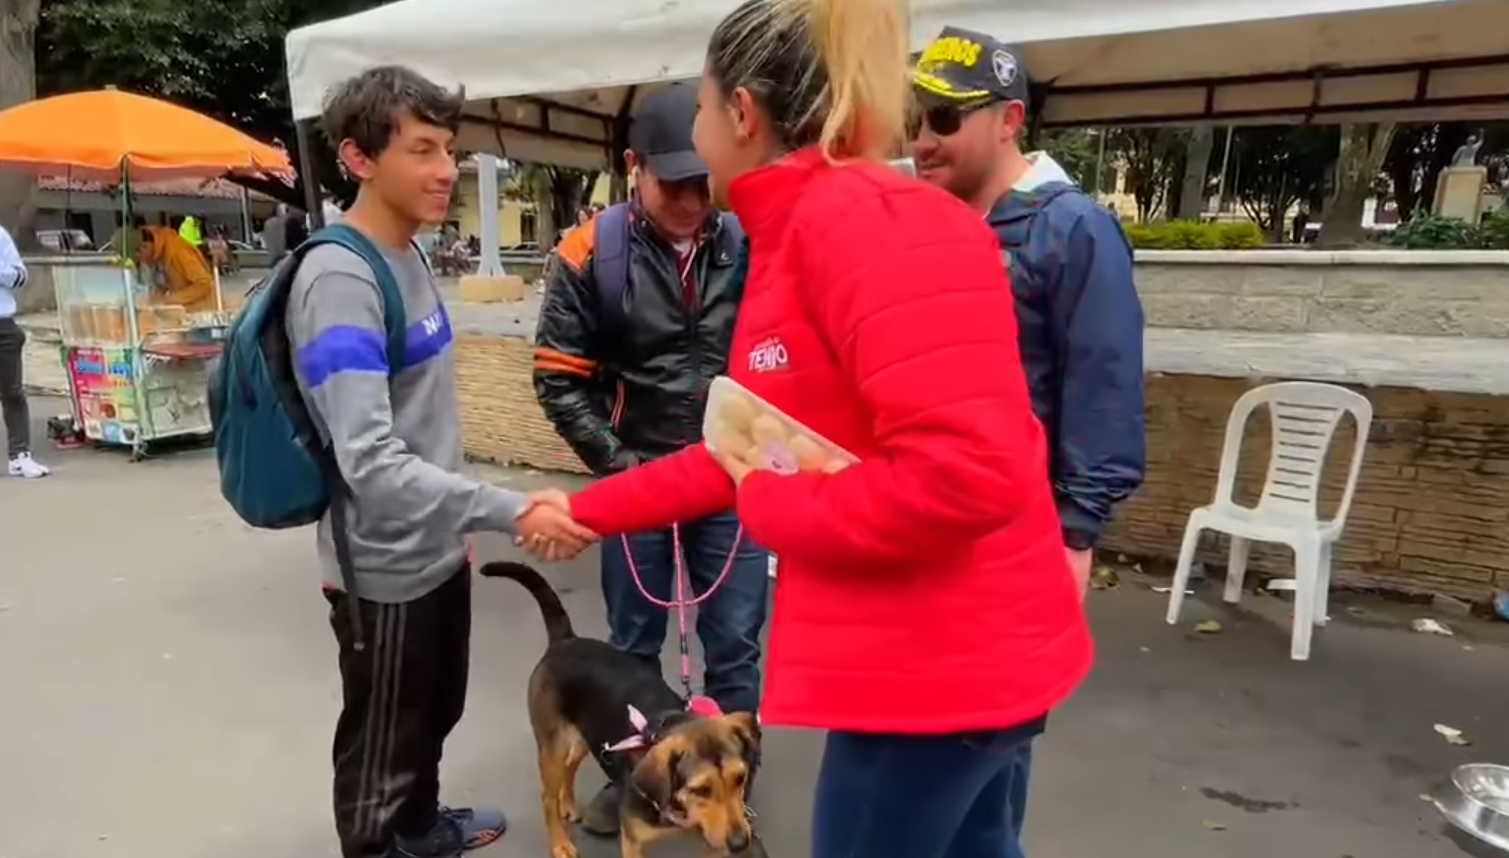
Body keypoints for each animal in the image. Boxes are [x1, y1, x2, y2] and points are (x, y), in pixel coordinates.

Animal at [482, 560, 760, 856]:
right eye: (702, 789)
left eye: (740, 778)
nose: (740, 843)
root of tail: (565, 640)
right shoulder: (633, 842)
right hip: (553, 745)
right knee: (547, 795)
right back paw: (560, 842)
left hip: (587, 734)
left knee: (570, 765)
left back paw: (568, 804)